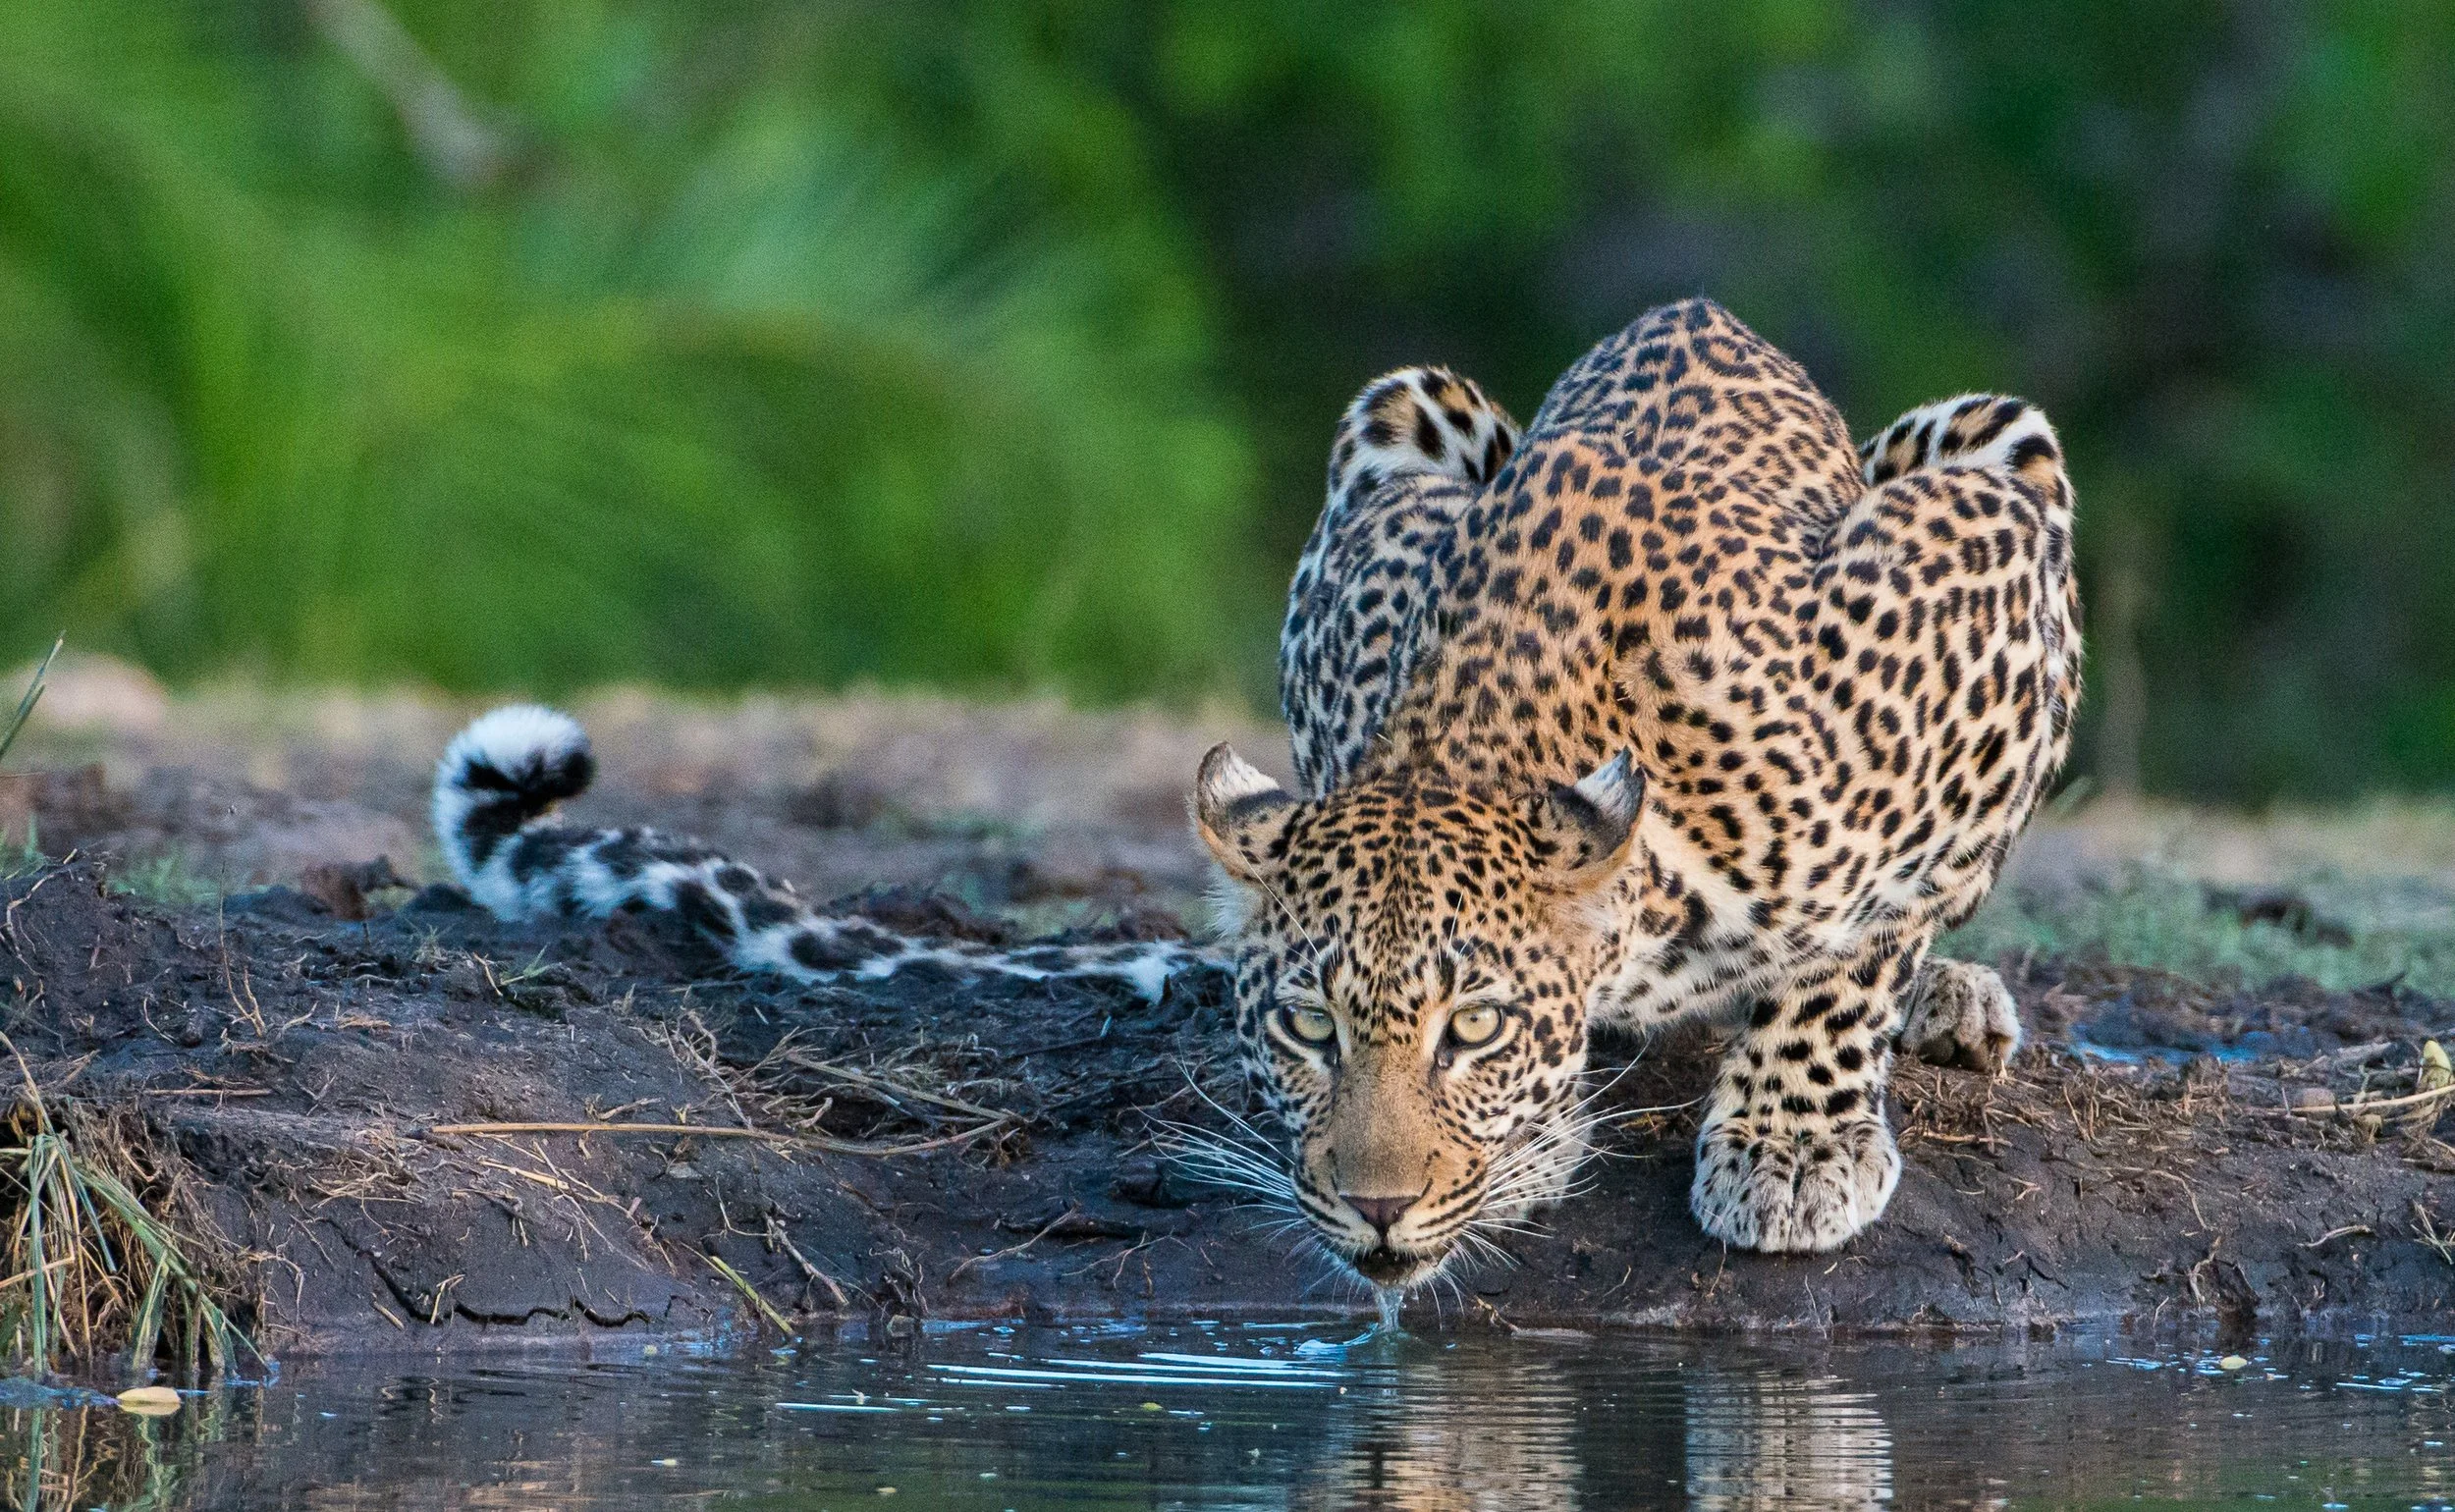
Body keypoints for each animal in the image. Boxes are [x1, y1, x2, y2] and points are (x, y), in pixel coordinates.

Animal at [1191, 297, 2078, 1288]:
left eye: (1474, 1028)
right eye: (1310, 1026)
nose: (1377, 1208)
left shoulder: (1981, 582)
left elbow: (1859, 953)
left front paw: (1794, 1149)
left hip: (2003, 443)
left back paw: (1952, 1000)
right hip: (1405, 404)